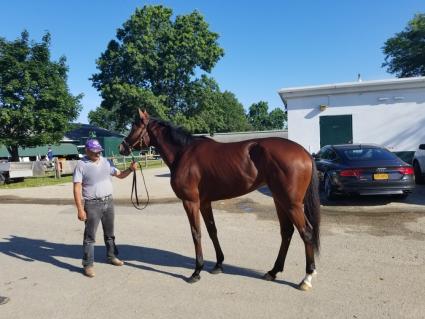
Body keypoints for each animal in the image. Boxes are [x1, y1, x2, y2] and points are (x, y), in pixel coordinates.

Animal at [118, 110, 318, 292]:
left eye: (134, 126)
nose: (122, 147)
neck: (183, 153)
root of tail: (305, 153)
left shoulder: (191, 202)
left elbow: (196, 233)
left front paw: (196, 272)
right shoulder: (205, 203)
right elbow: (212, 231)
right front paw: (218, 264)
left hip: (291, 204)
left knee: (306, 233)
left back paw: (307, 278)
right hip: (280, 200)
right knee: (287, 232)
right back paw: (273, 271)